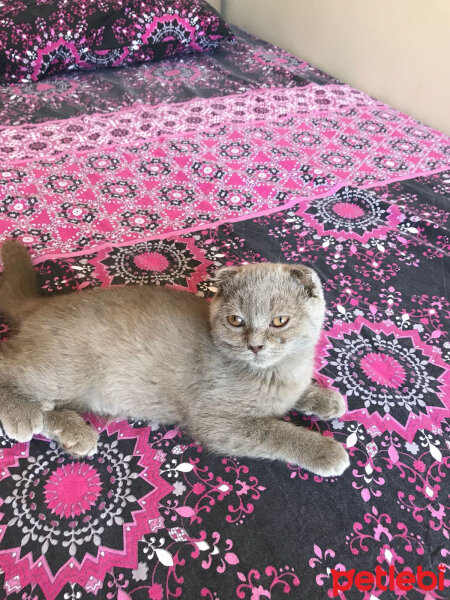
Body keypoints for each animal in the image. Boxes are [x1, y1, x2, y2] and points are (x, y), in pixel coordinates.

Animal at [0, 240, 352, 478]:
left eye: (280, 321)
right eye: (235, 320)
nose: (255, 346)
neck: (277, 372)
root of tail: (40, 305)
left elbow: (299, 394)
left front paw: (324, 398)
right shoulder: (216, 422)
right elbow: (278, 431)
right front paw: (326, 451)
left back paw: (73, 433)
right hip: (63, 369)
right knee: (8, 362)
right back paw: (23, 415)